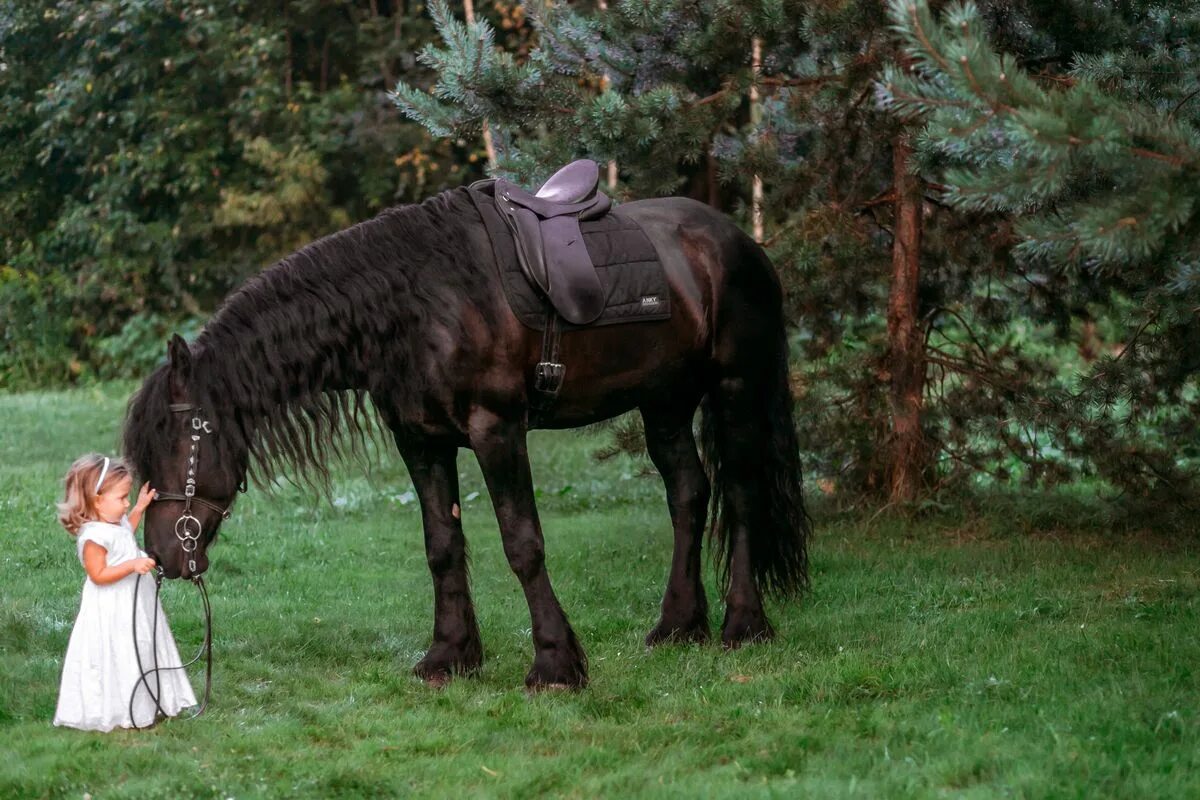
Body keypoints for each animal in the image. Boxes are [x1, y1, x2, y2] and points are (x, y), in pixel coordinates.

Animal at [124, 175, 806, 690]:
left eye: (180, 441)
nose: (161, 553)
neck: (419, 303)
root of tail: (740, 241)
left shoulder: (496, 431)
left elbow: (523, 544)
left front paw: (555, 665)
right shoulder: (421, 441)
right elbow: (442, 546)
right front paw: (449, 656)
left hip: (736, 389)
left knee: (740, 494)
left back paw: (743, 626)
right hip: (663, 403)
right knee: (689, 494)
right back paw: (679, 626)